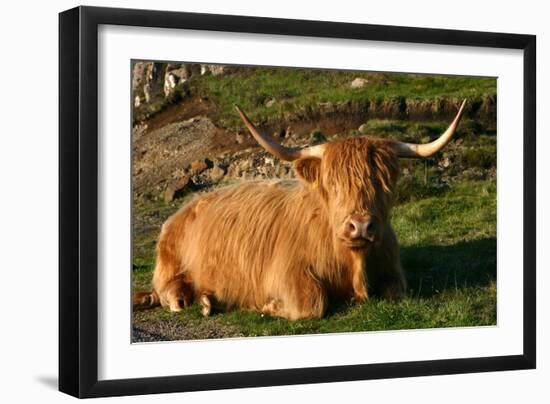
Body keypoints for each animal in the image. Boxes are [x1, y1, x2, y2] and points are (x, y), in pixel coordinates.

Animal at [134, 100, 466, 318]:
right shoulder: (286, 273)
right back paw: (190, 300)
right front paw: (270, 305)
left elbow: (396, 291)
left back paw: (207, 300)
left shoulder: (393, 269)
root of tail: (182, 210)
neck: (353, 263)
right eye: (332, 184)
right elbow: (311, 304)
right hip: (169, 262)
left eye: (383, 182)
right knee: (167, 292)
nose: (360, 226)